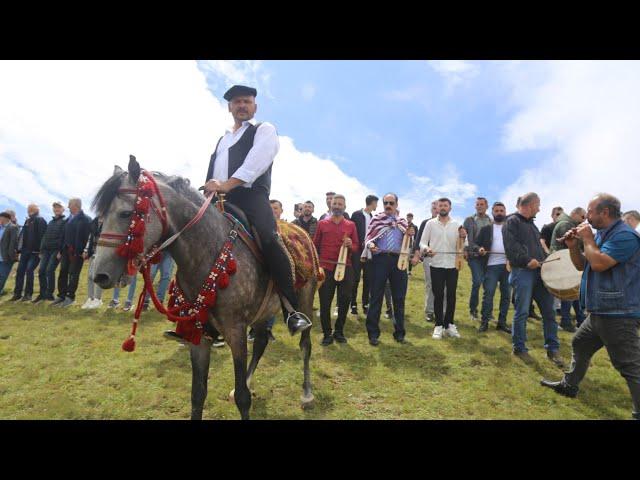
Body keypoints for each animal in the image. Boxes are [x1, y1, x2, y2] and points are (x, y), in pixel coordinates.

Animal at [91, 159, 316, 418]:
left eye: (126, 213)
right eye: (101, 217)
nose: (99, 275)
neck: (208, 250)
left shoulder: (236, 331)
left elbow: (243, 398)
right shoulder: (199, 335)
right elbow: (198, 394)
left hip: (304, 301)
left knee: (305, 344)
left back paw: (307, 393)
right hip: (262, 311)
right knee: (261, 342)